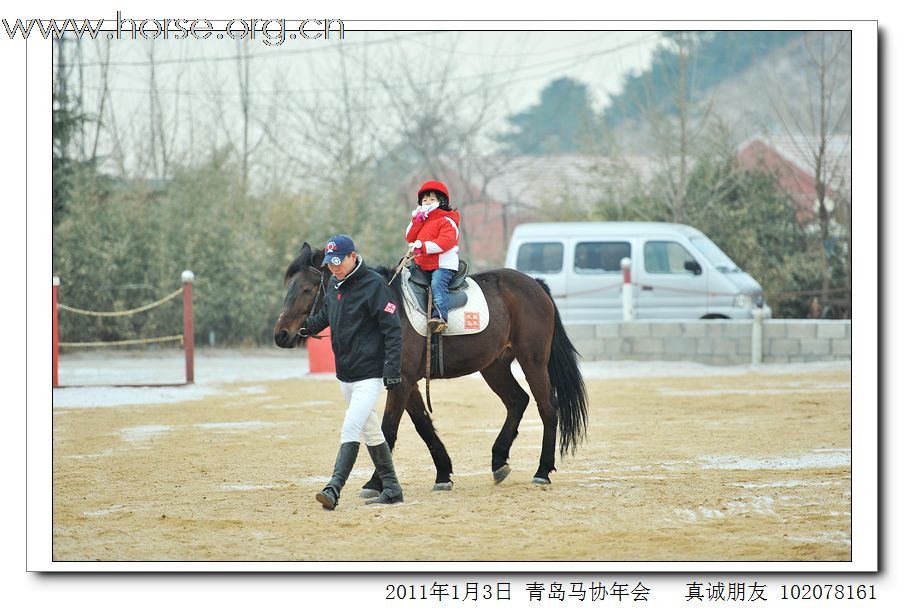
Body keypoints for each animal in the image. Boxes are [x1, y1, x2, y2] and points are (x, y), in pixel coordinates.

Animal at [272, 241, 588, 494]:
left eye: (307, 289)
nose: (281, 334)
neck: (388, 310)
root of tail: (535, 284)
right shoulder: (406, 382)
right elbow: (423, 425)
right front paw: (443, 473)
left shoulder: (400, 382)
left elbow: (389, 430)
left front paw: (375, 483)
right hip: (494, 366)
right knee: (517, 401)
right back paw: (499, 461)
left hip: (533, 361)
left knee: (547, 408)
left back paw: (542, 470)